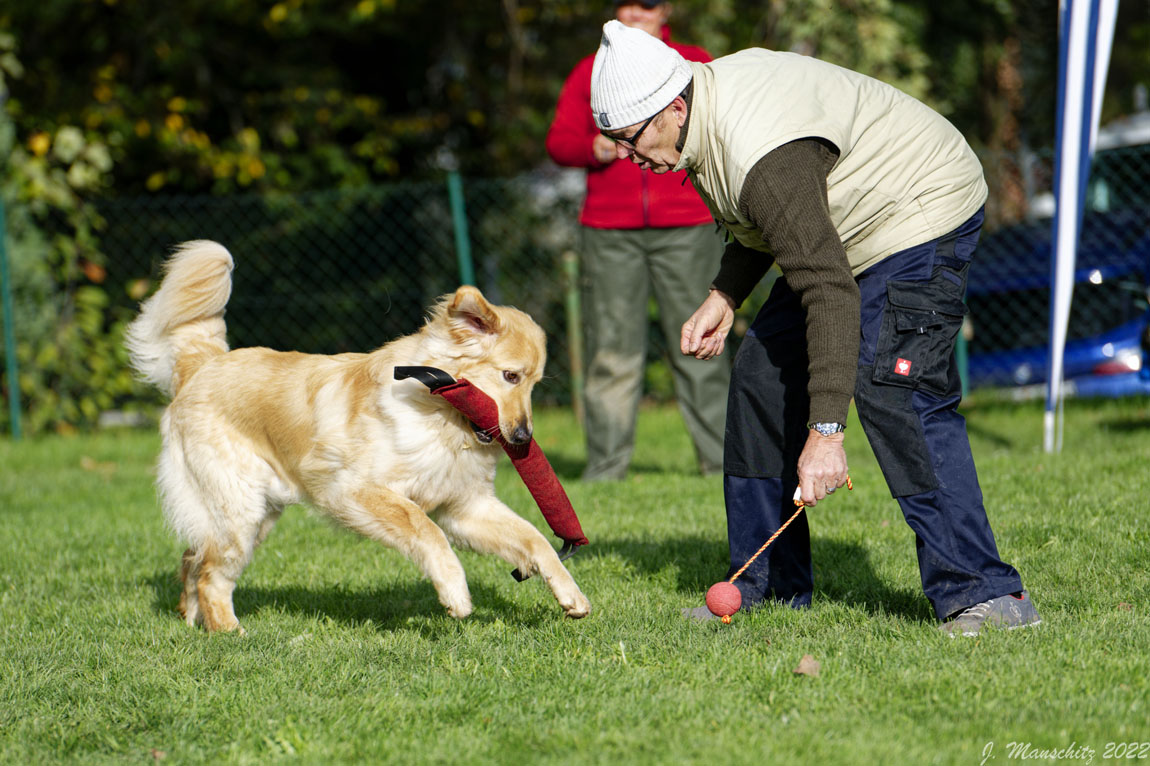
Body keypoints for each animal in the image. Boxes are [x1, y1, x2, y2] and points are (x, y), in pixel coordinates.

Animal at [127, 240, 593, 630]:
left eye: (534, 385)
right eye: (510, 376)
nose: (523, 438)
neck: (440, 418)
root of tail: (202, 366)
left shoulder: (465, 506)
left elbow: (534, 538)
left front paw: (570, 592)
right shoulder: (354, 491)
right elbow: (427, 530)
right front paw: (455, 592)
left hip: (253, 515)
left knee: (192, 558)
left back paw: (195, 622)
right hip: (240, 511)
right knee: (211, 575)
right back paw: (230, 633)